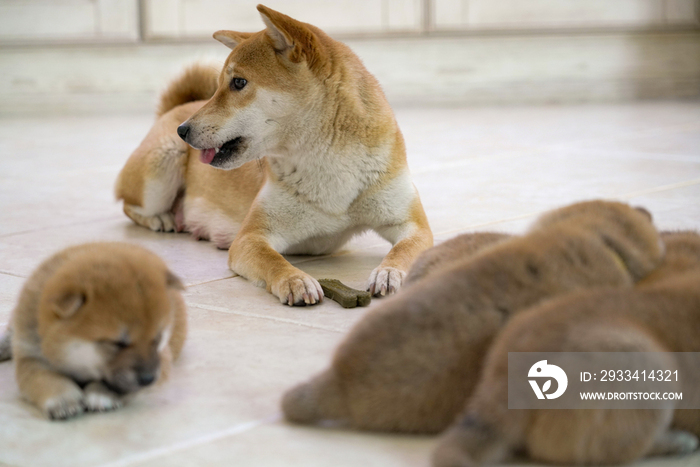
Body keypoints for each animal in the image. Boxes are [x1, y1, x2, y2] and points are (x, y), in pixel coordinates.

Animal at [0, 243, 187, 422]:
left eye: (158, 338)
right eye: (118, 343)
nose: (148, 379)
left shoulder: (163, 360)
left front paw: (102, 393)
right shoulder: (30, 356)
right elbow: (45, 378)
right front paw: (63, 399)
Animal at [115, 4, 432, 308]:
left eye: (238, 83)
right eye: (219, 85)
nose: (183, 130)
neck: (327, 161)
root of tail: (175, 110)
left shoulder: (413, 225)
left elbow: (404, 250)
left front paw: (389, 272)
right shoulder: (251, 237)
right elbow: (274, 261)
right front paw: (295, 280)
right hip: (161, 168)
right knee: (130, 206)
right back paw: (162, 218)